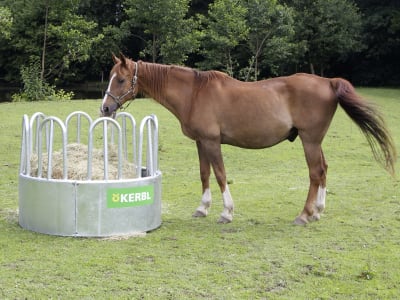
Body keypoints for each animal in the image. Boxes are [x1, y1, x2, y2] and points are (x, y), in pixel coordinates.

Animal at [101, 53, 396, 225]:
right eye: (111, 77)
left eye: (121, 79)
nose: (105, 108)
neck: (194, 93)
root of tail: (328, 82)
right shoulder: (200, 142)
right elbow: (205, 174)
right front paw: (203, 208)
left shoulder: (212, 142)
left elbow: (220, 174)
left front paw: (226, 212)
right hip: (315, 141)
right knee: (323, 170)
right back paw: (318, 211)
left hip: (310, 141)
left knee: (315, 173)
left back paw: (304, 215)